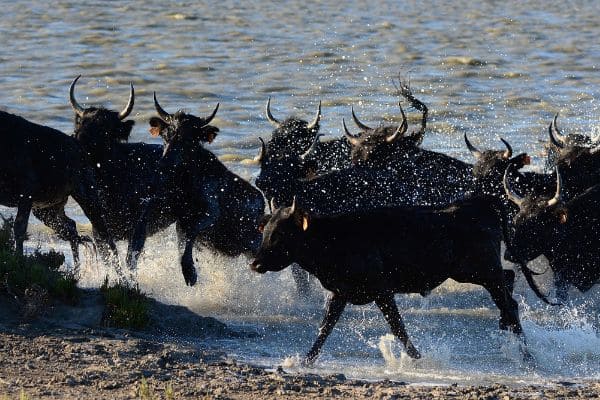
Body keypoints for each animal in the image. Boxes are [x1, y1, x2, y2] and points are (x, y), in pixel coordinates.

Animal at [251, 198, 528, 366]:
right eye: (266, 231)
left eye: (281, 234)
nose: (255, 263)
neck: (334, 239)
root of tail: (482, 202)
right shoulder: (340, 292)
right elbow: (324, 328)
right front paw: (306, 360)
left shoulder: (382, 291)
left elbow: (398, 328)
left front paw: (417, 358)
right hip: (476, 273)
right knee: (509, 285)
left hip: (483, 271)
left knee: (509, 302)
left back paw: (526, 353)